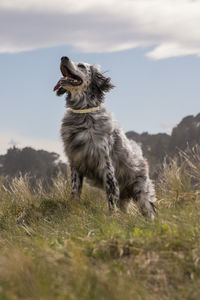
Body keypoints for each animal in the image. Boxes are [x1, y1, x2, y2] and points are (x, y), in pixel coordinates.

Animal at [53, 56, 156, 219]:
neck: (83, 114)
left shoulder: (106, 165)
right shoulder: (75, 164)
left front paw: (113, 218)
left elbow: (111, 197)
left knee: (148, 210)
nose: (64, 57)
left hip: (142, 192)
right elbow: (75, 193)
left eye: (81, 66)